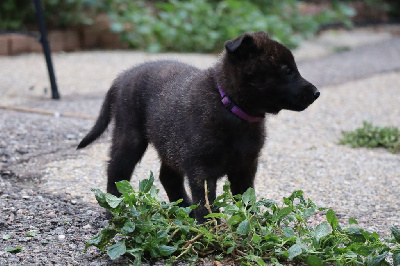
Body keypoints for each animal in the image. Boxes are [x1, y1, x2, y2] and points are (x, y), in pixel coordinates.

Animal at [77, 31, 318, 222]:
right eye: (287, 70)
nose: (316, 93)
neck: (231, 107)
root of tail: (122, 77)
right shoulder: (202, 168)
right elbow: (206, 201)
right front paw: (211, 228)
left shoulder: (245, 166)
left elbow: (246, 199)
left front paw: (252, 223)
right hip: (131, 136)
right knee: (116, 170)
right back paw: (115, 209)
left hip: (170, 144)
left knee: (168, 176)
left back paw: (184, 209)